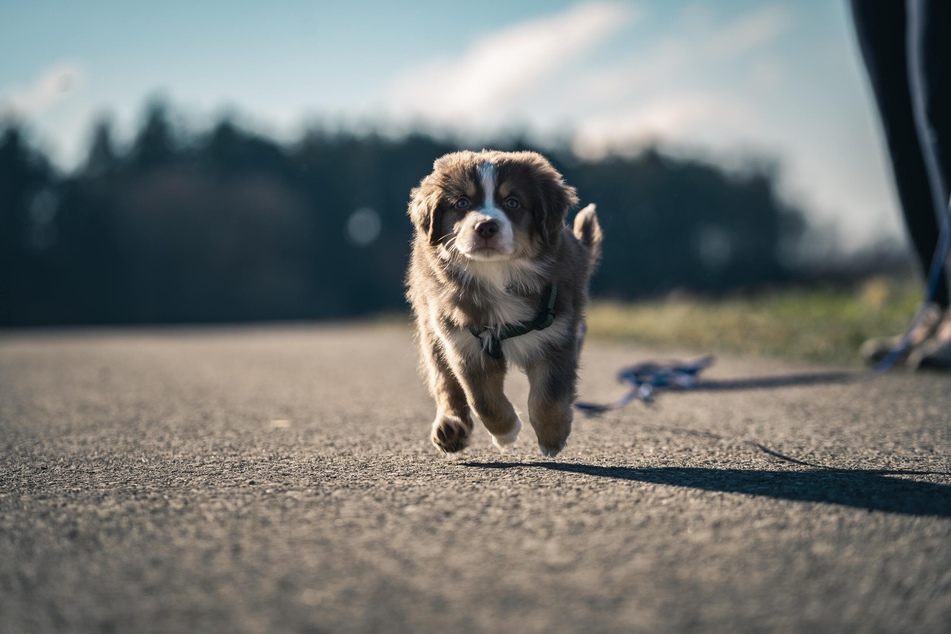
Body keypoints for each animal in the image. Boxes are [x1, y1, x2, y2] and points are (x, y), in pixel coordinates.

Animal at [404, 148, 604, 454]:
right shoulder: (464, 343)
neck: (497, 273)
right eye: (462, 202)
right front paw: (506, 432)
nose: (486, 227)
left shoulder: (557, 335)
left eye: (512, 202)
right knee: (444, 382)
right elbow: (481, 399)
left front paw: (552, 437)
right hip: (432, 330)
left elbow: (549, 395)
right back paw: (450, 427)